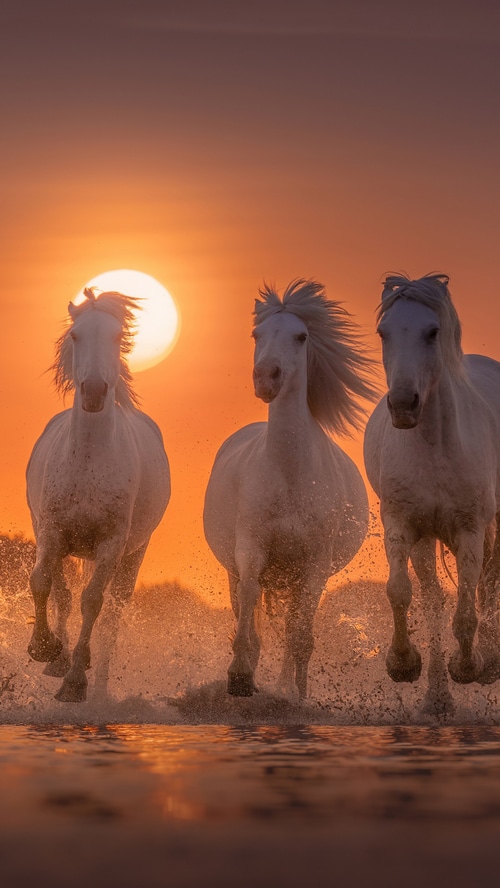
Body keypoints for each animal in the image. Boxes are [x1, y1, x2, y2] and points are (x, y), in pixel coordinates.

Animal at [26, 288, 170, 703]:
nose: (93, 392)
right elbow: (44, 583)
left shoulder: (111, 544)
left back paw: (99, 683)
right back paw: (59, 658)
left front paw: (76, 682)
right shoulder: (52, 532)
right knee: (61, 592)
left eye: (117, 337)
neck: (89, 459)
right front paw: (44, 649)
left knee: (111, 619)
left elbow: (92, 602)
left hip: (132, 555)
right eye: (76, 335)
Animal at [203, 279, 378, 699]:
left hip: (295, 578)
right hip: (242, 570)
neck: (289, 475)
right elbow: (249, 606)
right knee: (248, 606)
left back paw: (285, 686)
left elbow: (299, 633)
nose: (266, 377)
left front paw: (297, 695)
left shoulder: (313, 566)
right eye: (257, 334)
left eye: (301, 336)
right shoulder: (250, 548)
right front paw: (240, 675)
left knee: (291, 623)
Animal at [363, 273, 500, 714]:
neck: (434, 446)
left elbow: (468, 607)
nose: (404, 404)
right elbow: (400, 592)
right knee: (434, 600)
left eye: (432, 331)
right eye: (384, 332)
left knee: (485, 586)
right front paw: (403, 664)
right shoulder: (402, 525)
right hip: (426, 539)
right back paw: (437, 699)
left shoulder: (471, 530)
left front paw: (468, 666)